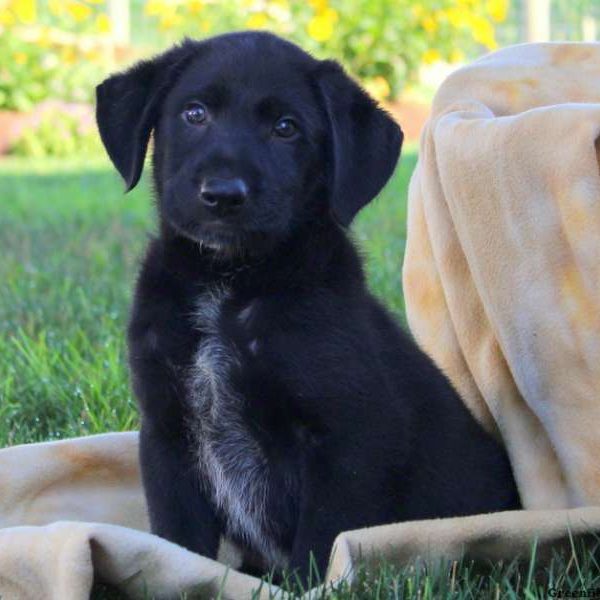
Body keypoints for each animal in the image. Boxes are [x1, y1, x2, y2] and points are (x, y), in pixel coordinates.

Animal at [95, 31, 520, 580]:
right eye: (194, 113)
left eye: (286, 128)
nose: (223, 195)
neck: (229, 286)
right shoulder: (167, 432)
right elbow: (178, 544)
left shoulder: (347, 441)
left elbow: (322, 544)